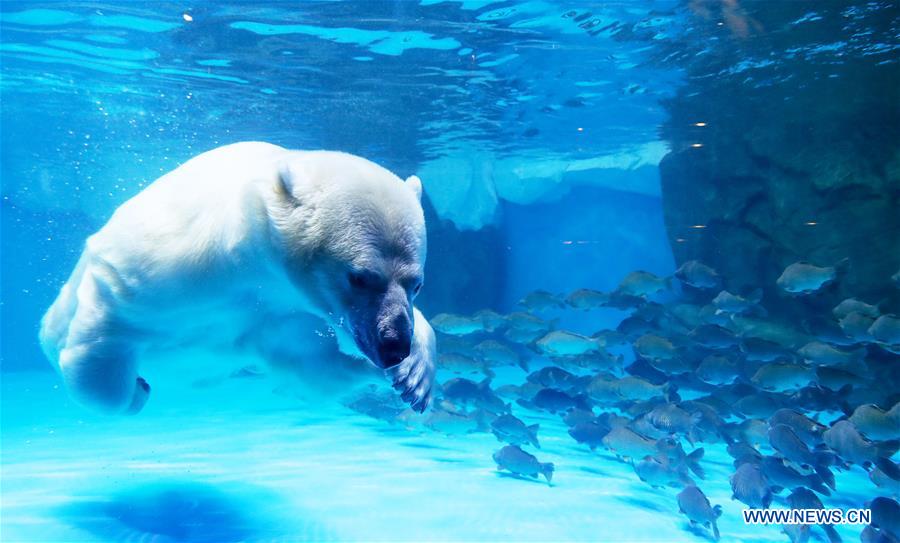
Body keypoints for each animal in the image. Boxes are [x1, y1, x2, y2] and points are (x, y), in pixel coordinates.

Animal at [37, 142, 438, 414]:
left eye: (417, 284)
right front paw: (136, 391)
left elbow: (307, 363)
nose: (394, 346)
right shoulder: (161, 267)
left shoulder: (279, 314)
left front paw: (413, 377)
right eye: (358, 277)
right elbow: (101, 341)